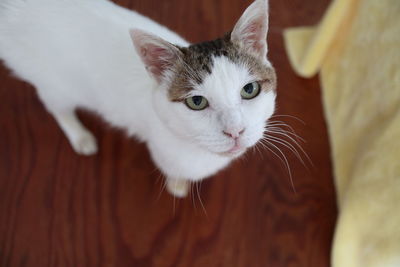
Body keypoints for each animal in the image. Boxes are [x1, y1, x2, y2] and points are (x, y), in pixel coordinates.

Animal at [0, 0, 276, 199]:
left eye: (249, 89)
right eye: (196, 102)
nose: (235, 131)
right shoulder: (168, 154)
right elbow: (176, 173)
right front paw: (178, 186)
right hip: (54, 83)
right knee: (57, 107)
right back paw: (80, 136)